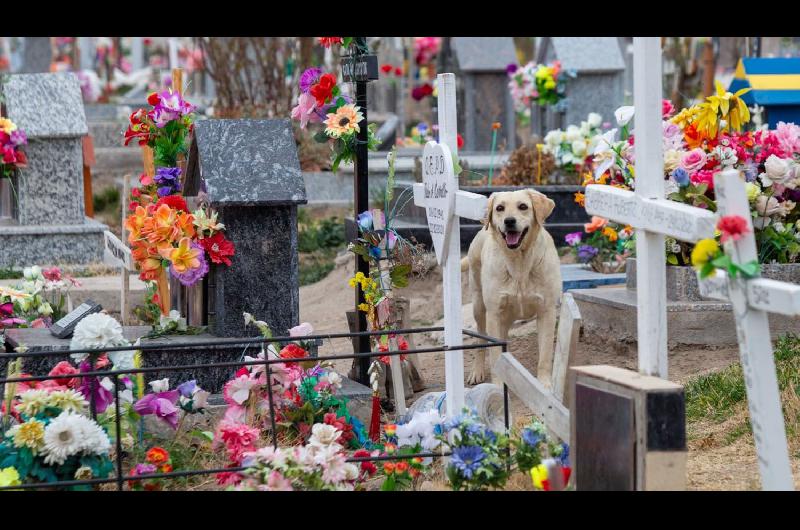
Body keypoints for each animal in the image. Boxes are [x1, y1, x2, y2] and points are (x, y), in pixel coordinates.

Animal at [462, 189, 564, 384]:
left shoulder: (547, 311)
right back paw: (477, 371)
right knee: (480, 341)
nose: (509, 221)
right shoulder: (494, 314)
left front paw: (544, 384)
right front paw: (498, 385)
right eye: (500, 208)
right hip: (479, 306)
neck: (519, 263)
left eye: (523, 206)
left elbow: (545, 355)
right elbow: (494, 353)